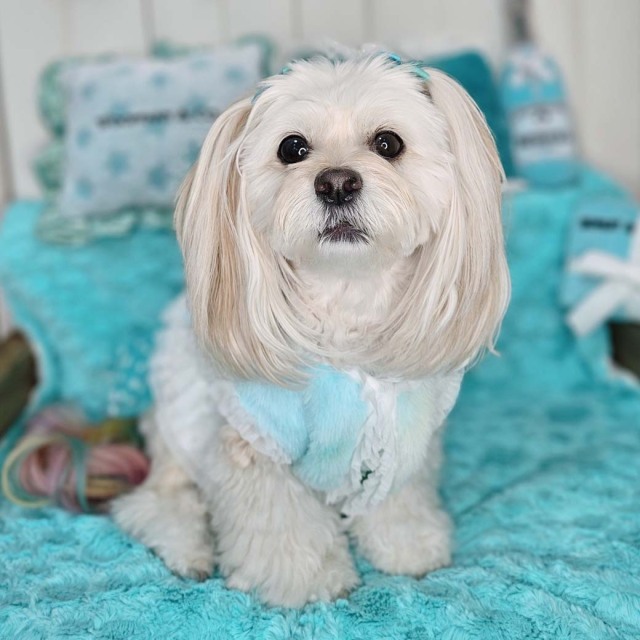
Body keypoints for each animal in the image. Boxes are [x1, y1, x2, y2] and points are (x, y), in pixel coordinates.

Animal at [112, 53, 510, 607]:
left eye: (388, 143)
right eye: (292, 148)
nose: (336, 183)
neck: (346, 297)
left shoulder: (401, 433)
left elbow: (398, 499)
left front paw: (408, 547)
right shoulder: (255, 443)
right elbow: (281, 521)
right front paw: (306, 583)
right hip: (175, 440)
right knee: (157, 504)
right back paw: (189, 551)